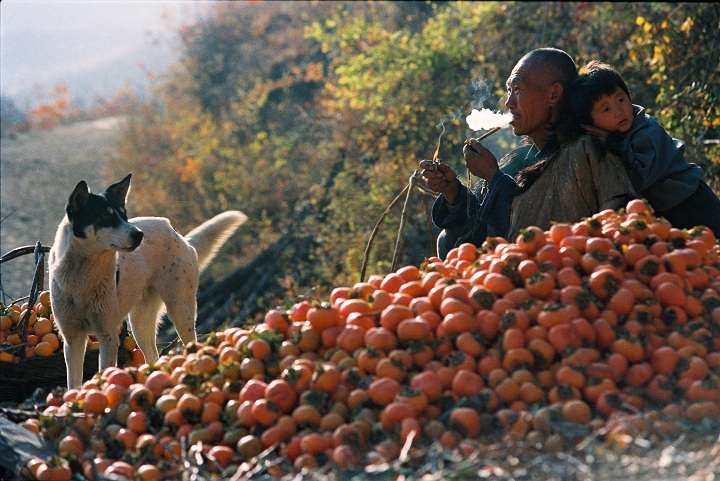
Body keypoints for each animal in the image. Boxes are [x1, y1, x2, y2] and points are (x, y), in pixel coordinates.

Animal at [49, 174, 248, 388]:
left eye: (124, 215)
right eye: (104, 217)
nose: (139, 235)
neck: (83, 276)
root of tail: (176, 232)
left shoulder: (107, 336)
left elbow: (104, 371)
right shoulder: (73, 340)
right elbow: (73, 382)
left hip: (180, 310)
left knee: (189, 342)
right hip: (140, 323)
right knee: (153, 356)